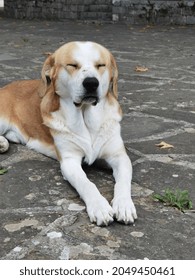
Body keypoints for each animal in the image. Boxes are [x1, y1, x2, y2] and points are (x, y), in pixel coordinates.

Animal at [0, 41, 137, 225]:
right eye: (72, 65)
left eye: (101, 65)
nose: (91, 83)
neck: (85, 118)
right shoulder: (69, 162)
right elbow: (86, 183)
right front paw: (99, 206)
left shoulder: (119, 156)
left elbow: (123, 183)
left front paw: (124, 205)